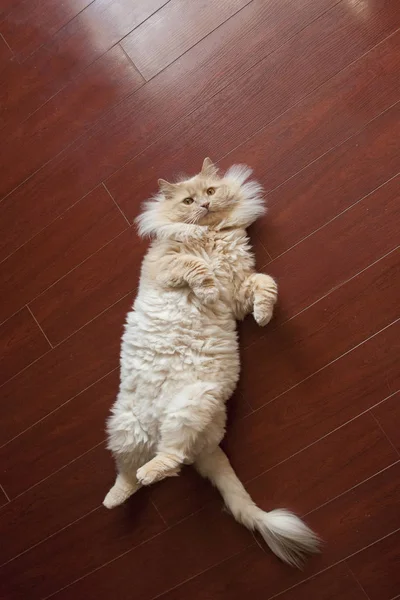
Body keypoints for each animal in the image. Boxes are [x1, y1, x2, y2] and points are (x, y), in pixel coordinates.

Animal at [104, 158, 320, 568]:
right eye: (189, 201)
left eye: (210, 192)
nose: (204, 205)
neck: (209, 236)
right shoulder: (167, 265)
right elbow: (194, 267)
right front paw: (204, 291)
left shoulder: (239, 290)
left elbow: (265, 284)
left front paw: (264, 316)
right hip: (126, 428)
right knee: (133, 474)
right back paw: (114, 498)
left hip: (188, 407)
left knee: (169, 460)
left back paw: (143, 478)